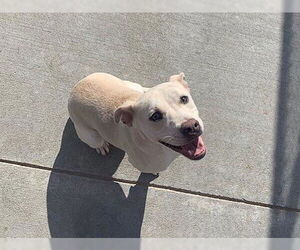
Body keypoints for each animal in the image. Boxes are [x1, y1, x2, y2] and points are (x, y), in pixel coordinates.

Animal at [68, 72, 205, 174]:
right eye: (155, 116)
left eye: (184, 98)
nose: (191, 127)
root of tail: (78, 85)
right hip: (91, 136)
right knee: (96, 141)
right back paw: (101, 146)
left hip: (129, 85)